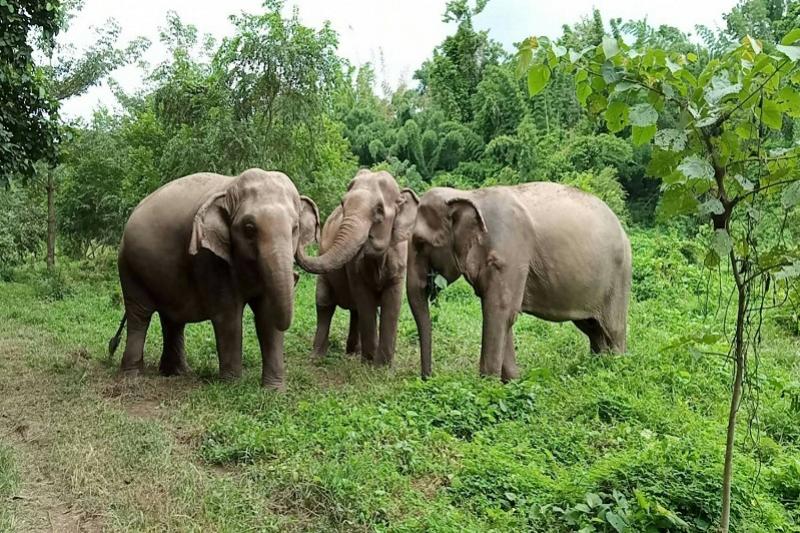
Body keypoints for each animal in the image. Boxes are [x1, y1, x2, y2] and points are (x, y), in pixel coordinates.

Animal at [108, 168, 320, 389]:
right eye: (249, 229)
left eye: (295, 228)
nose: (296, 276)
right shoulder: (210, 259)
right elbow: (228, 317)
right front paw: (232, 386)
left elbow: (267, 316)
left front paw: (274, 390)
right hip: (130, 266)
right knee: (140, 315)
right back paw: (132, 376)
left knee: (172, 317)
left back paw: (175, 373)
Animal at [295, 169, 419, 365]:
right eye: (343, 203)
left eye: (379, 210)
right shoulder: (354, 267)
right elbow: (364, 298)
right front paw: (370, 362)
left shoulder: (400, 258)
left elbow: (392, 302)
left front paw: (382, 366)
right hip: (324, 273)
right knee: (325, 304)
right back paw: (318, 358)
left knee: (355, 309)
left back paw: (353, 352)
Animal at [406, 182, 631, 381]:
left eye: (420, 243)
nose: (428, 378)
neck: (469, 194)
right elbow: (502, 314)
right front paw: (513, 382)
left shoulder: (510, 253)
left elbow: (500, 311)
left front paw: (487, 386)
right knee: (592, 328)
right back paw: (597, 367)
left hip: (619, 277)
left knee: (613, 329)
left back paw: (615, 368)